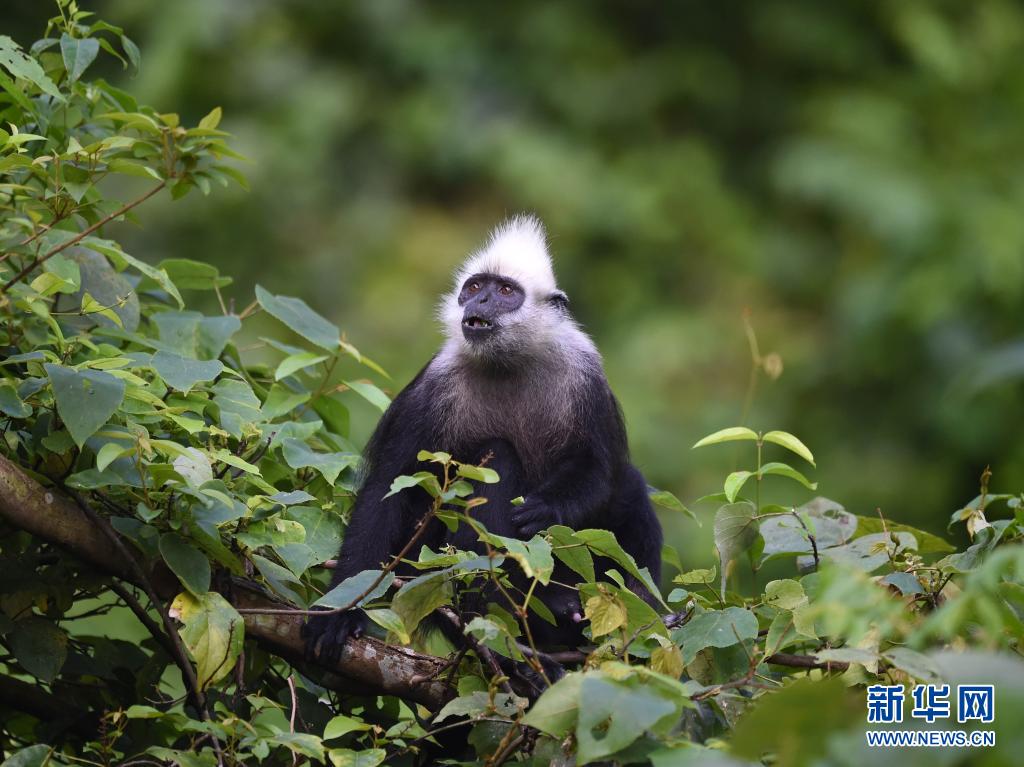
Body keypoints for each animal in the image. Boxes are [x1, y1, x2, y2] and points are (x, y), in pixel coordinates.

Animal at [305, 214, 663, 663]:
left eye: (505, 291)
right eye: (475, 287)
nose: (480, 303)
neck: (507, 366)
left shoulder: (586, 373)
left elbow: (600, 471)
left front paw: (545, 507)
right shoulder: (431, 390)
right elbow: (387, 492)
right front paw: (338, 614)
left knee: (629, 485)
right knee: (499, 455)